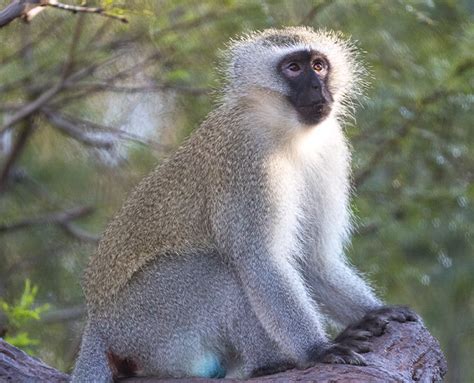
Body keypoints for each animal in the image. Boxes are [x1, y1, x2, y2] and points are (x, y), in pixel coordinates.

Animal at [72, 26, 416, 380]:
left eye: (319, 66)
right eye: (294, 68)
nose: (317, 88)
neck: (286, 131)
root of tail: (97, 323)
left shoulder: (329, 147)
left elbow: (312, 258)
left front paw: (373, 313)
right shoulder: (247, 159)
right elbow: (257, 258)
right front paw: (318, 349)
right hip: (145, 321)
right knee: (221, 271)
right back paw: (268, 364)